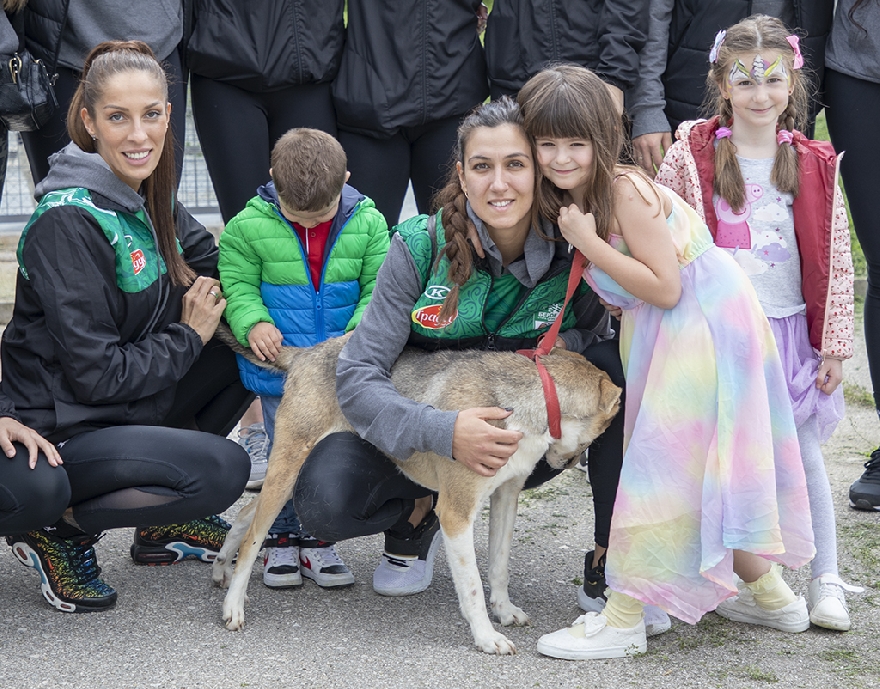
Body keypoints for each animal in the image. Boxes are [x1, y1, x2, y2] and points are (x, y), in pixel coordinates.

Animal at [212, 334, 620, 656]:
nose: (574, 463)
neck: (529, 398)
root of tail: (308, 352)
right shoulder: (457, 512)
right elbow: (472, 585)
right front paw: (486, 636)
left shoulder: (506, 496)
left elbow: (498, 567)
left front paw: (504, 611)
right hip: (289, 465)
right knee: (253, 536)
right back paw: (234, 605)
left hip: (288, 479)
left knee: (247, 514)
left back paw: (221, 568)